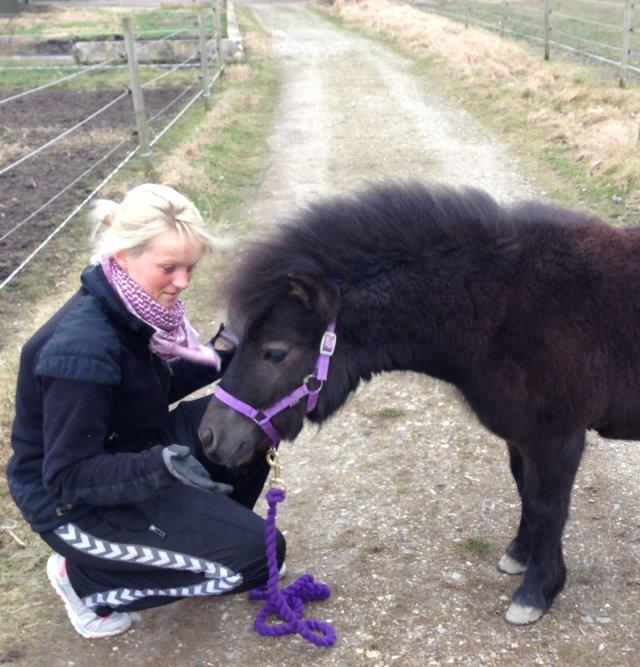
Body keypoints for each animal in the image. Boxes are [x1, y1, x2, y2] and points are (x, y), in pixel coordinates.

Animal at [196, 181, 640, 628]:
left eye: (274, 352)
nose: (209, 436)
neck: (503, 308)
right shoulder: (522, 436)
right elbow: (525, 493)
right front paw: (519, 555)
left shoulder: (557, 439)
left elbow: (548, 507)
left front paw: (537, 591)